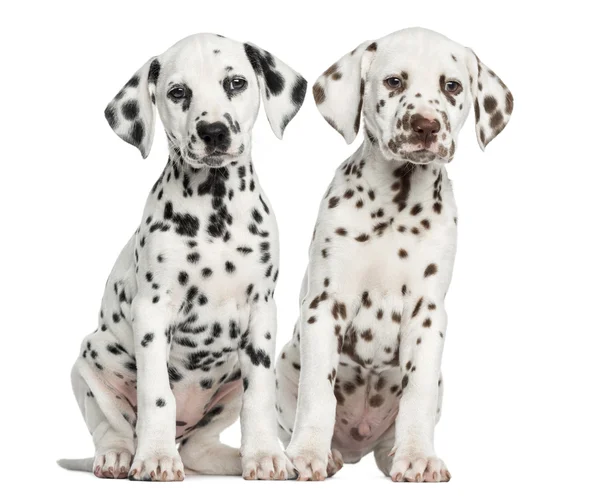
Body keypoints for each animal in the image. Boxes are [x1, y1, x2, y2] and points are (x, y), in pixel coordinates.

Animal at [58, 32, 308, 480]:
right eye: (178, 93)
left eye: (236, 83)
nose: (214, 132)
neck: (215, 210)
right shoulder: (153, 311)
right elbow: (157, 395)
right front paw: (156, 458)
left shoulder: (263, 311)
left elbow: (259, 396)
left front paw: (265, 455)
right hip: (90, 362)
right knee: (113, 427)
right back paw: (119, 457)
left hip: (227, 387)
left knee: (198, 448)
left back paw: (231, 458)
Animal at [274, 26, 512, 480]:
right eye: (394, 82)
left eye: (452, 86)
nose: (425, 126)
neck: (396, 205)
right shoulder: (324, 304)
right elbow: (317, 392)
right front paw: (308, 453)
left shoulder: (427, 312)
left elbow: (416, 393)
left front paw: (417, 456)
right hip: (283, 367)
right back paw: (329, 454)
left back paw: (393, 454)